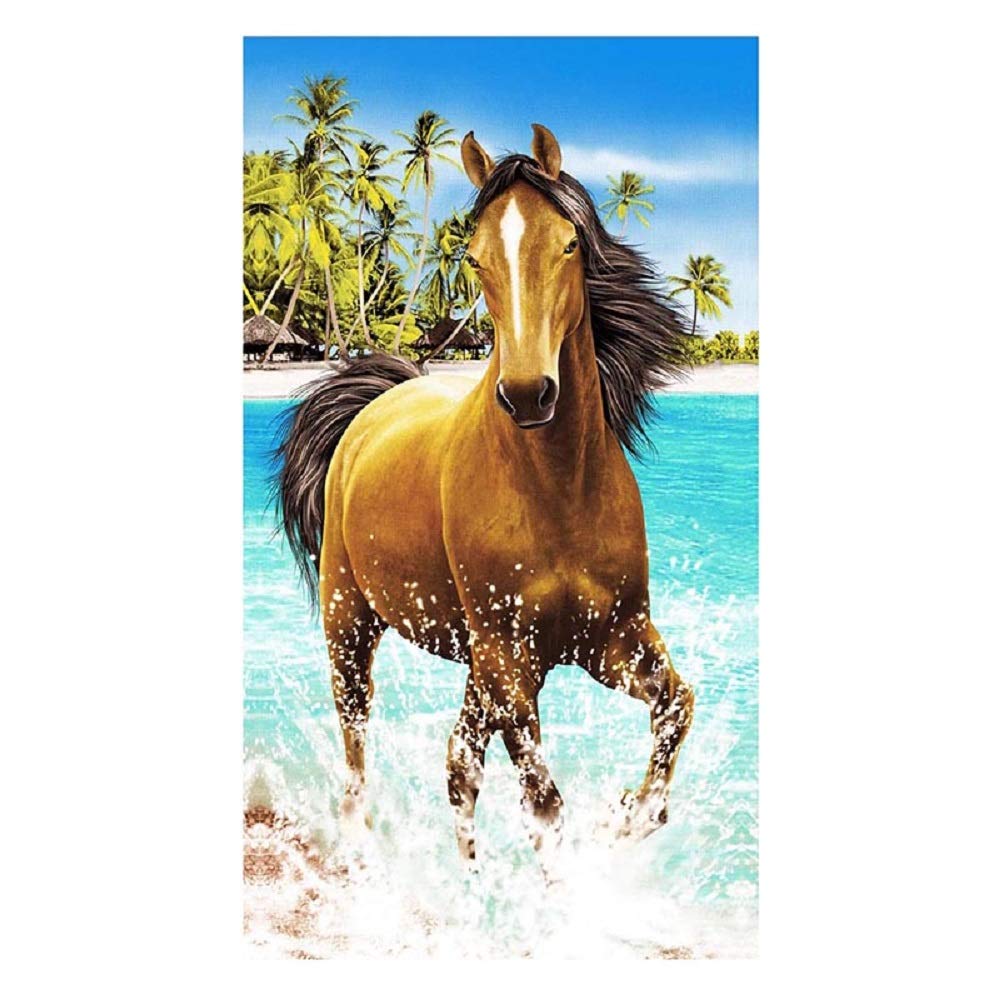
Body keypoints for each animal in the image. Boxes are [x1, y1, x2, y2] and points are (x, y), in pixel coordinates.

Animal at [275, 124, 695, 869]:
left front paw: (634, 815)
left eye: (568, 244)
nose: (529, 394)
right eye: (473, 259)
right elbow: (544, 805)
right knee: (357, 746)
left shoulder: (612, 638)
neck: (558, 494)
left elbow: (677, 705)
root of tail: (380, 399)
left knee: (457, 763)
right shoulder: (511, 660)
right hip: (351, 622)